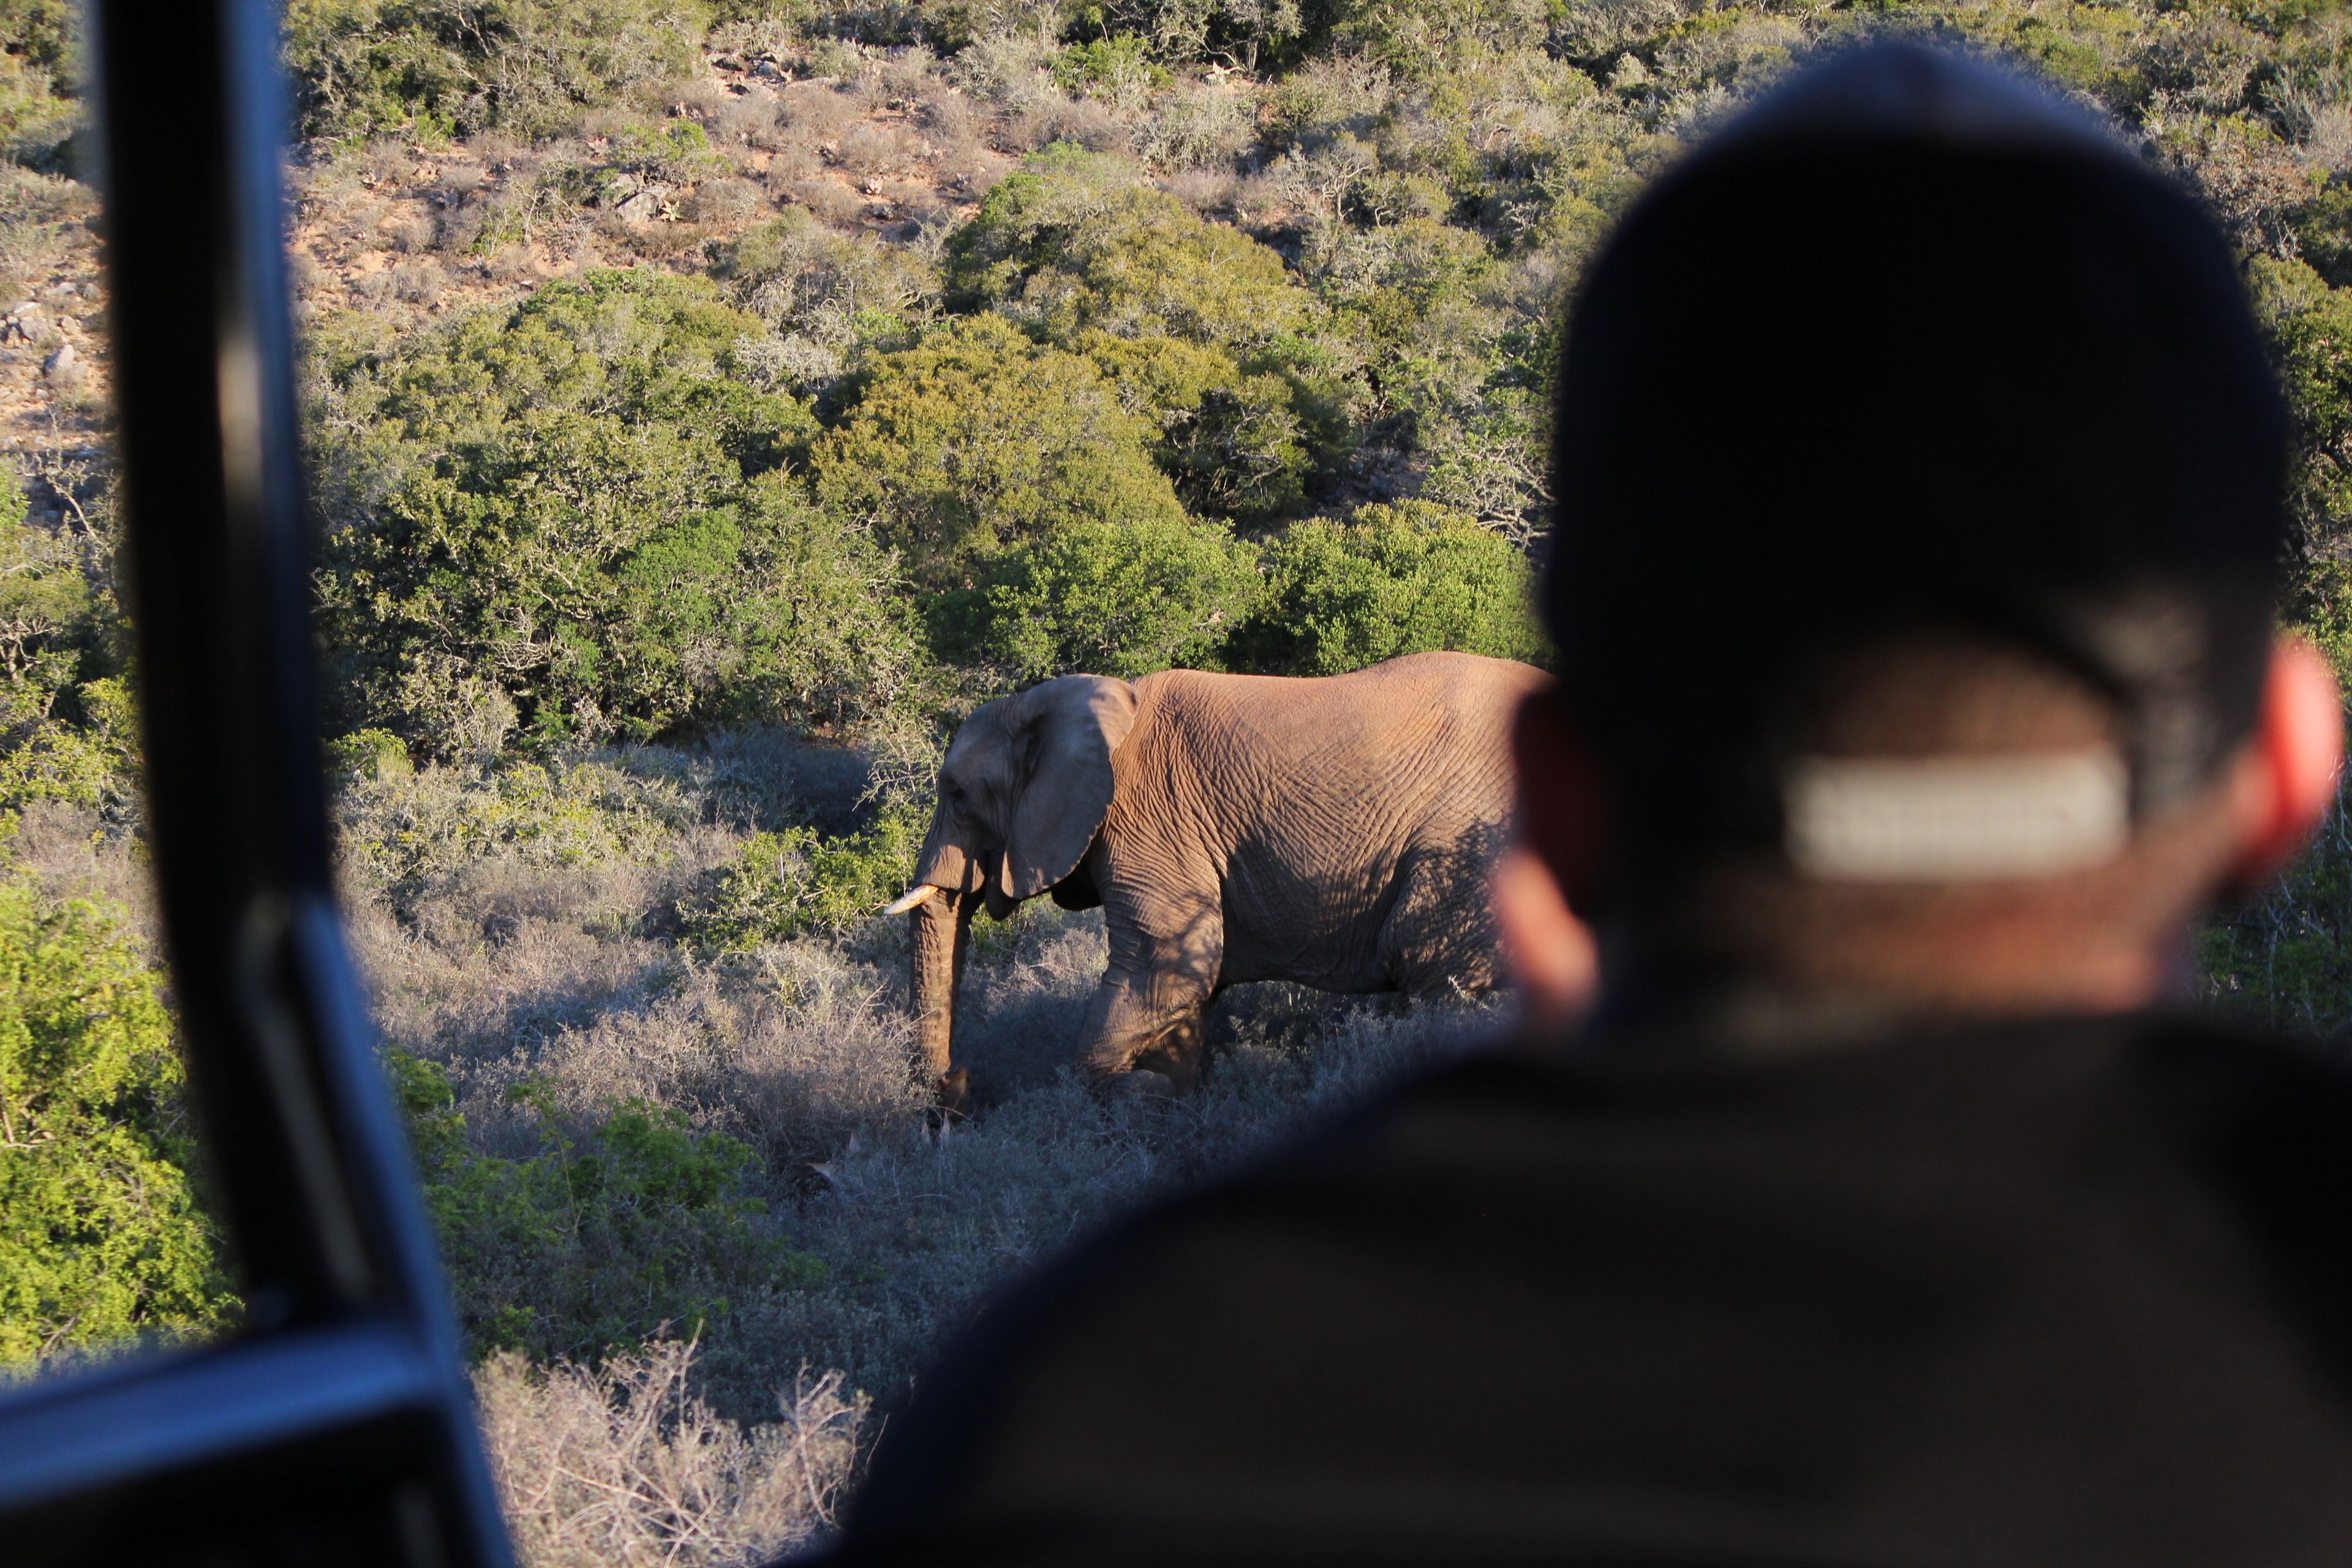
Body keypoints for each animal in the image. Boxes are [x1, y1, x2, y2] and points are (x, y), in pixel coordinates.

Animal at [883, 650, 1549, 1098]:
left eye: (957, 794)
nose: (958, 1081)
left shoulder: (1150, 820)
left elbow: (1164, 968)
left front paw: (1135, 1099)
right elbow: (1185, 990)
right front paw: (1169, 1102)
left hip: (1474, 851)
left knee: (1433, 969)